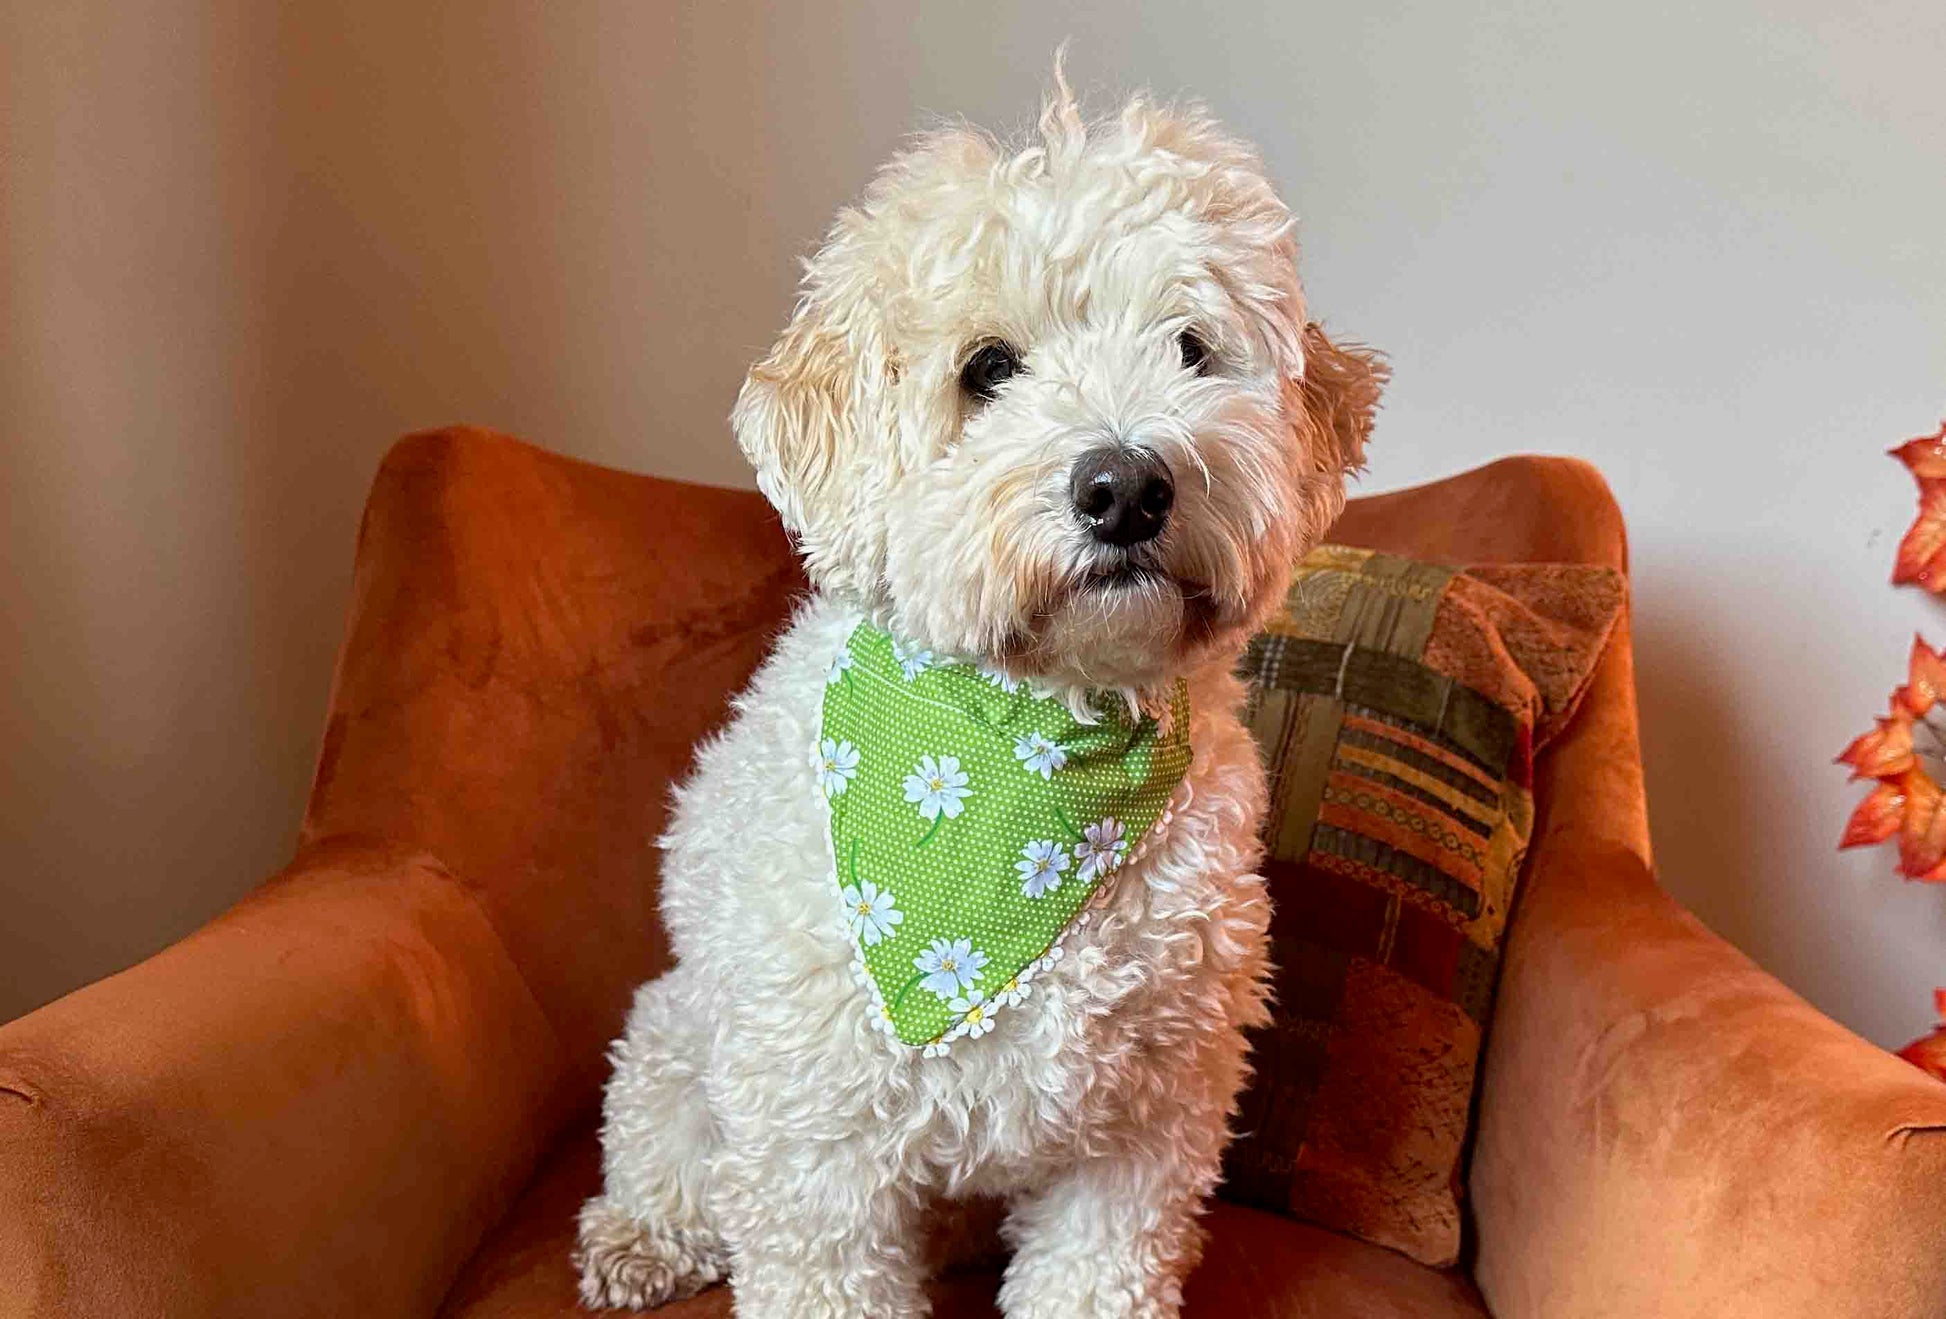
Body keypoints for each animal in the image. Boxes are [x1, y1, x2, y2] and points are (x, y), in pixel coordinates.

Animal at [576, 74, 1385, 1319]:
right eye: (987, 368)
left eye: (1190, 348)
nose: (1124, 486)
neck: (1033, 751)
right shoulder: (816, 1146)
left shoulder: (1145, 1129)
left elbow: (1095, 1271)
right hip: (677, 1034)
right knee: (657, 1140)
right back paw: (639, 1233)